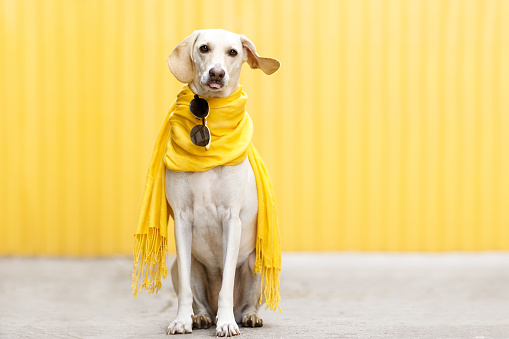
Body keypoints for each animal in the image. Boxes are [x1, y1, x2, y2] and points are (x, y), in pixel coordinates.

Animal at [165, 29, 280, 338]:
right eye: (204, 48)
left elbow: (227, 284)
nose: (217, 73)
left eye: (233, 52)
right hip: (183, 263)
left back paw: (247, 316)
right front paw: (182, 321)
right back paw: (202, 317)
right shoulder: (182, 220)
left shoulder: (232, 220)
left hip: (256, 262)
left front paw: (227, 322)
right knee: (201, 301)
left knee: (249, 302)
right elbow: (185, 292)